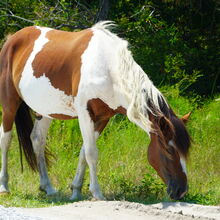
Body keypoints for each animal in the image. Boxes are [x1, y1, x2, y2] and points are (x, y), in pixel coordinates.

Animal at [0, 21, 191, 201]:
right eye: (169, 150)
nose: (181, 191)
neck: (108, 68)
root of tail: (12, 39)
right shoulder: (85, 113)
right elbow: (92, 153)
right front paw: (97, 193)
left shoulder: (102, 118)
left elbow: (84, 152)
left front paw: (76, 190)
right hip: (9, 103)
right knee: (6, 139)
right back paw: (4, 187)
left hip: (46, 110)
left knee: (37, 139)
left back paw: (48, 187)